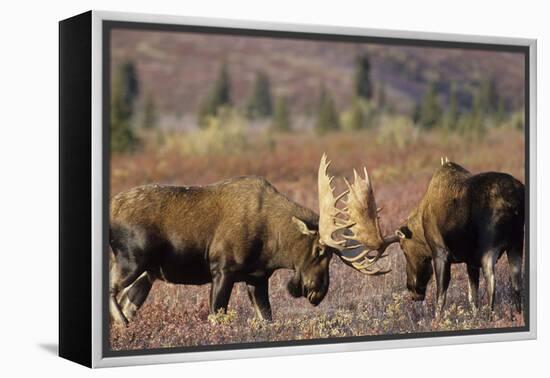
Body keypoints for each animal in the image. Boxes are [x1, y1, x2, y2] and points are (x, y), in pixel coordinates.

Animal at [109, 157, 382, 328]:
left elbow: (267, 319)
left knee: (125, 303)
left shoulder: (256, 278)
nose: (318, 291)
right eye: (320, 249)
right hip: (131, 260)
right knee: (112, 291)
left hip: (147, 274)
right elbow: (216, 317)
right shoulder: (222, 269)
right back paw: (123, 323)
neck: (273, 245)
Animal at [336, 158, 528, 318]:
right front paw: (475, 317)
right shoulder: (470, 260)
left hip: (490, 246)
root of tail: (514, 201)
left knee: (492, 281)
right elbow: (472, 296)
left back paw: (490, 316)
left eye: (403, 249)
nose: (413, 290)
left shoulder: (440, 252)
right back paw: (518, 315)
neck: (421, 225)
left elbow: (441, 294)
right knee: (516, 282)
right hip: (517, 243)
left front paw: (437, 320)